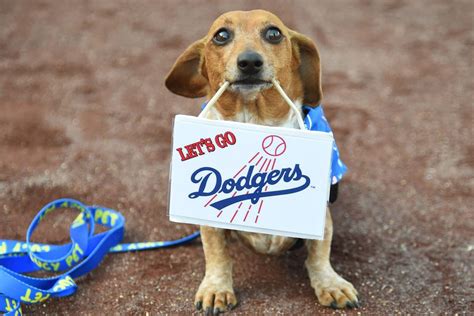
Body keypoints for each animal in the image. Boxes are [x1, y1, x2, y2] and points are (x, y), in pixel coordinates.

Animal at [165, 9, 358, 314]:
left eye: (274, 33)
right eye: (221, 35)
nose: (249, 62)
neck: (254, 122)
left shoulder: (320, 215)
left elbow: (319, 252)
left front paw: (330, 283)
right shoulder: (210, 221)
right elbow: (217, 253)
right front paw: (216, 288)